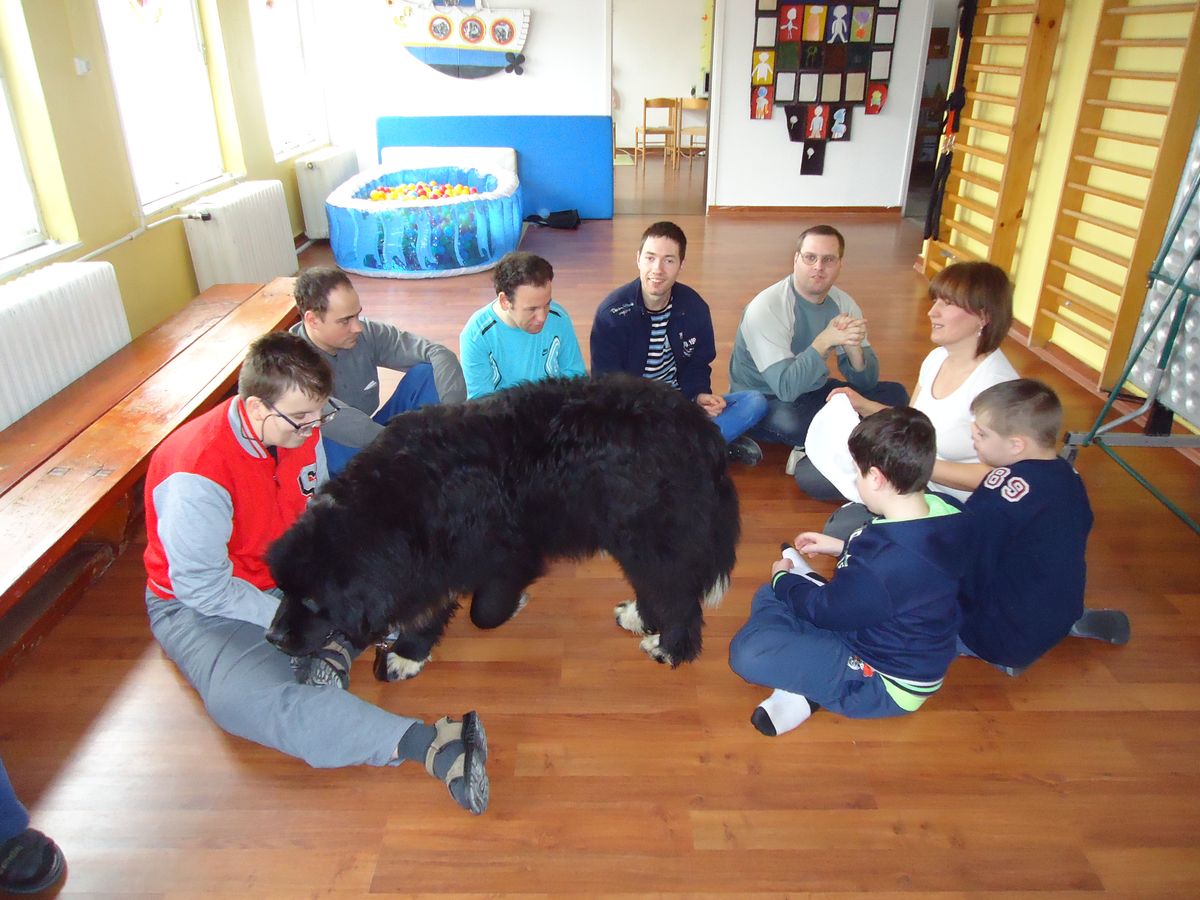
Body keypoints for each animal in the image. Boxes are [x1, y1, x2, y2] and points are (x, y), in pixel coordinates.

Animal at [270, 376, 739, 681]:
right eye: (282, 588)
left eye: (312, 602)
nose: (273, 638)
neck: (393, 508)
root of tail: (702, 429)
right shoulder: (434, 563)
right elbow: (427, 609)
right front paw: (408, 654)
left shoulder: (508, 555)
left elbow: (485, 611)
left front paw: (509, 607)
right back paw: (640, 618)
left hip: (651, 537)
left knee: (678, 596)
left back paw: (669, 647)